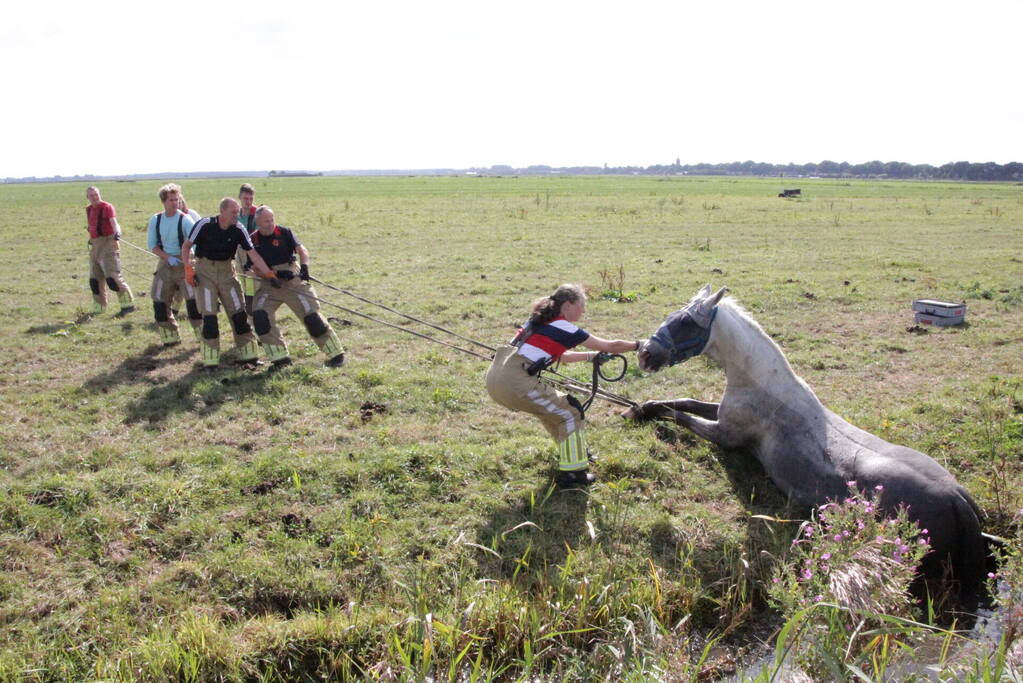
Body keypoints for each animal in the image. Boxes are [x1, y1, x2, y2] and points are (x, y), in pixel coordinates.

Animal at [627, 284, 987, 609]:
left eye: (685, 323)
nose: (645, 354)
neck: (760, 383)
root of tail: (957, 498)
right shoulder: (720, 414)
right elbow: (684, 401)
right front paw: (642, 406)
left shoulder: (725, 435)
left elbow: (679, 414)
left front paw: (639, 410)